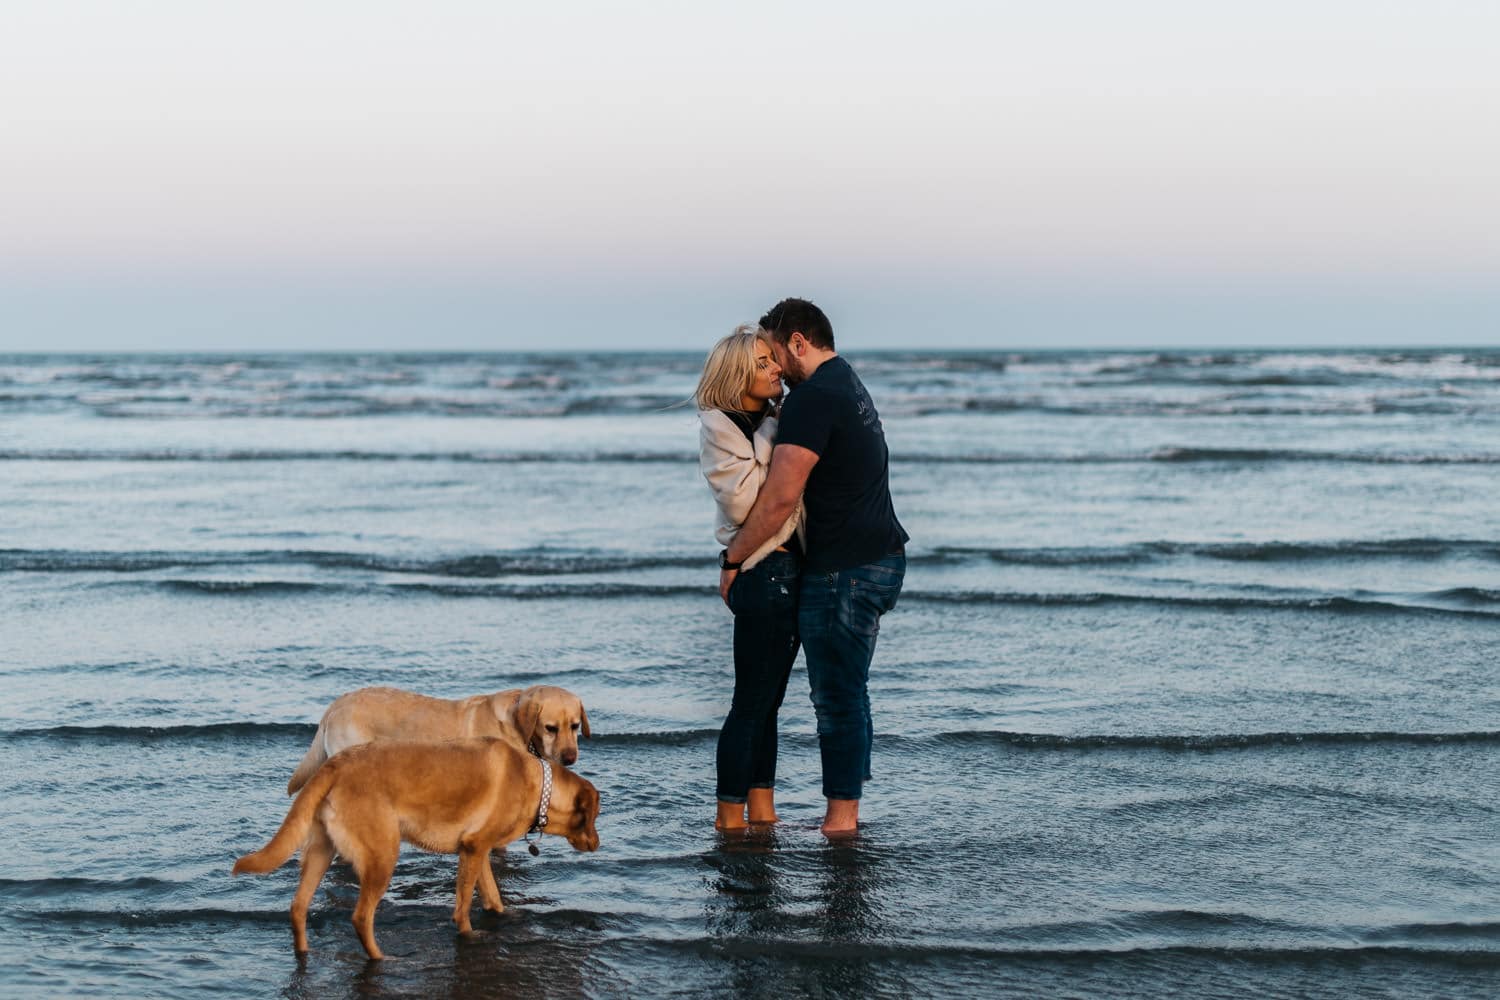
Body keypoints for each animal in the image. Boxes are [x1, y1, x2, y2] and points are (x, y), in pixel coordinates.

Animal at [234, 734, 597, 959]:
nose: (597, 843)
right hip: (382, 857)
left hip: (321, 852)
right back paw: (381, 959)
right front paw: (468, 936)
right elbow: (463, 908)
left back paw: (304, 952)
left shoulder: (476, 852)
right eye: (595, 814)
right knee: (361, 918)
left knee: (298, 907)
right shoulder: (474, 849)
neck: (537, 784)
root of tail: (334, 764)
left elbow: (493, 896)